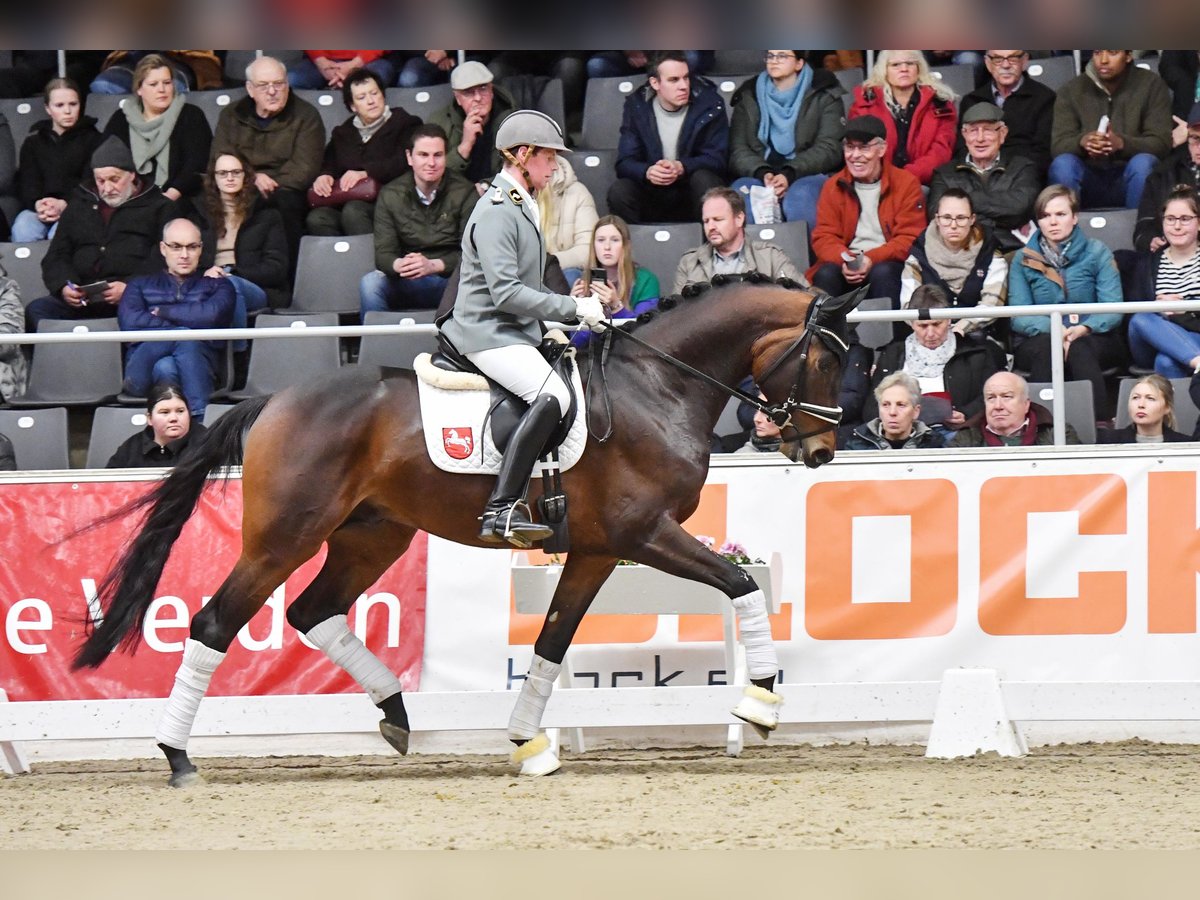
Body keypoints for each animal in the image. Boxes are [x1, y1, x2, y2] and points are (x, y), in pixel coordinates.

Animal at [70, 278, 864, 787]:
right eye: (828, 359)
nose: (823, 451)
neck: (657, 387)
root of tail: (272, 400)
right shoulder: (643, 534)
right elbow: (738, 583)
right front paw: (760, 702)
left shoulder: (598, 550)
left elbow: (550, 644)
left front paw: (528, 743)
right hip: (281, 540)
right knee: (215, 622)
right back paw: (177, 757)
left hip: (371, 536)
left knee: (312, 610)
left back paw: (394, 714)